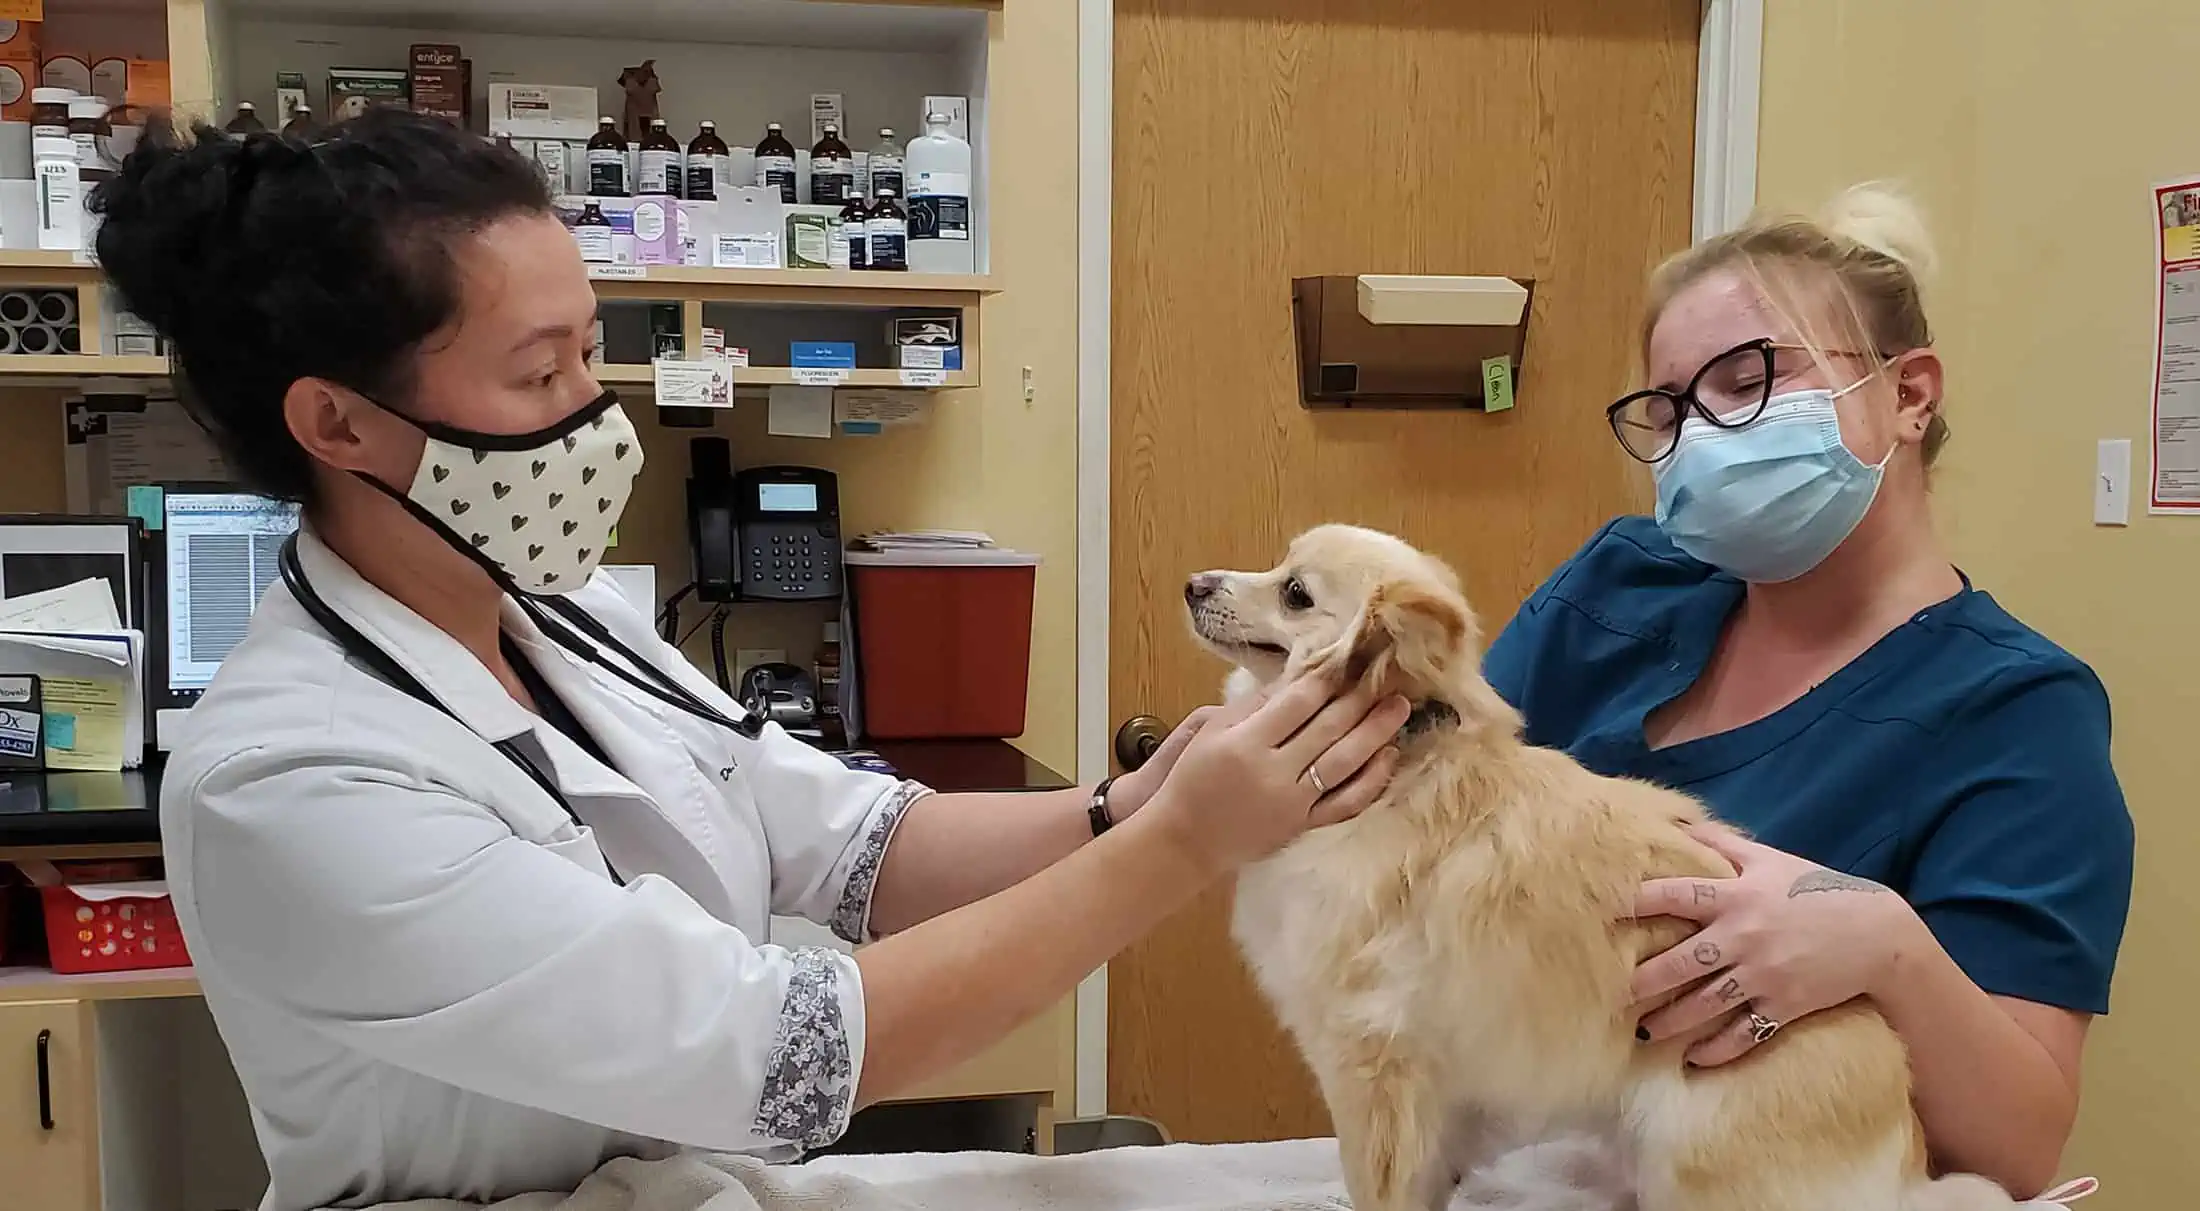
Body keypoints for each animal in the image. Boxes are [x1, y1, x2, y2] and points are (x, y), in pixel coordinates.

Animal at [1188, 526, 2015, 1211]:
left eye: (1295, 592)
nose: (1195, 581)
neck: (1403, 757)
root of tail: (1906, 1169)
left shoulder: (1370, 1064)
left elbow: (1382, 1189)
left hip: (1690, 1163)